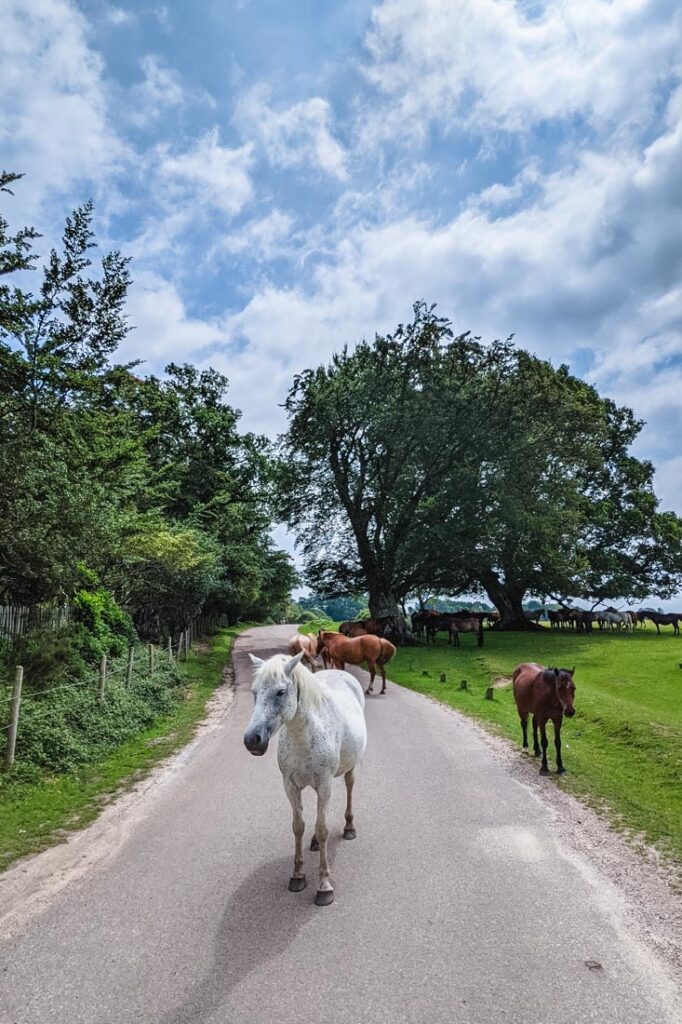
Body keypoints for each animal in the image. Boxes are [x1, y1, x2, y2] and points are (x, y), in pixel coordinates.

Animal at [241, 651, 364, 909]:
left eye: (280, 692)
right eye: (254, 692)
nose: (252, 740)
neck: (303, 736)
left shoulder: (325, 785)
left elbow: (324, 828)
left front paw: (324, 886)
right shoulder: (290, 786)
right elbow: (298, 826)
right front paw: (297, 875)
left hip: (348, 770)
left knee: (349, 786)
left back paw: (349, 827)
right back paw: (314, 842)